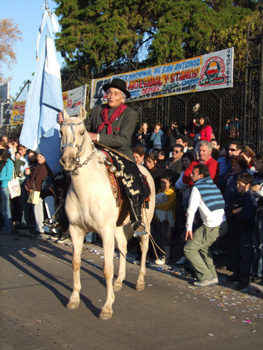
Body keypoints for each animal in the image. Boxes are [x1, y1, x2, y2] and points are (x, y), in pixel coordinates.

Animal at [59, 107, 156, 320]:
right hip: (119, 226)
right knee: (124, 247)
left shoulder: (104, 231)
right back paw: (120, 281)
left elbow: (107, 269)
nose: (68, 160)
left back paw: (140, 281)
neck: (87, 190)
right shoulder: (76, 229)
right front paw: (74, 299)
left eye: (82, 132)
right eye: (61, 131)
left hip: (145, 223)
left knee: (144, 246)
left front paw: (107, 307)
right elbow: (76, 262)